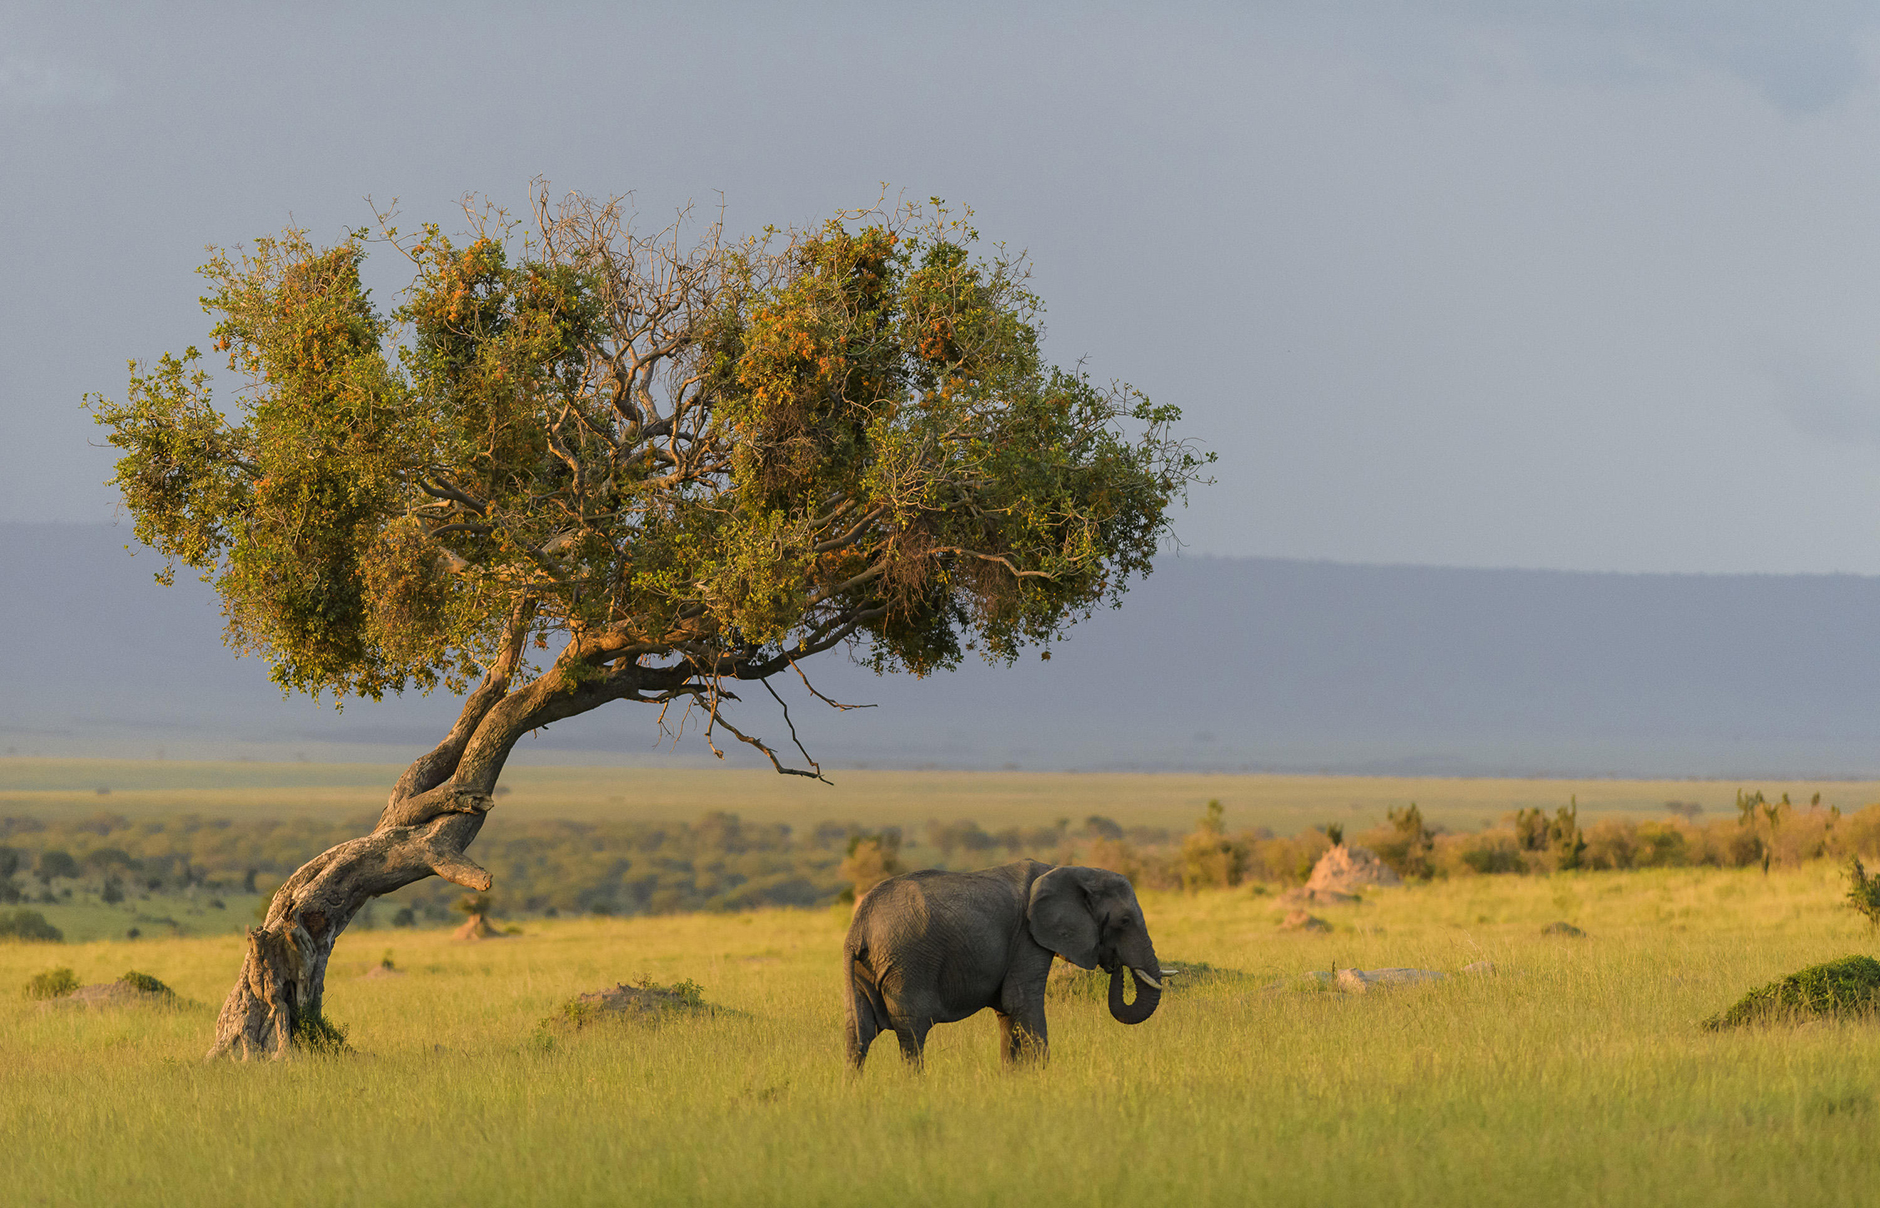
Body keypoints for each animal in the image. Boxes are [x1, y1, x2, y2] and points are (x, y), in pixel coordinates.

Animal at [842, 856, 1158, 1074]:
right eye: (1124, 921)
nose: (1114, 965)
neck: (1070, 871)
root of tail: (860, 925)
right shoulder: (1027, 938)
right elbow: (1022, 1003)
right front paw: (1042, 1078)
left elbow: (1008, 1013)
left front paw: (1013, 1080)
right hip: (908, 964)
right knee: (913, 1033)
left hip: (864, 970)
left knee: (858, 1034)